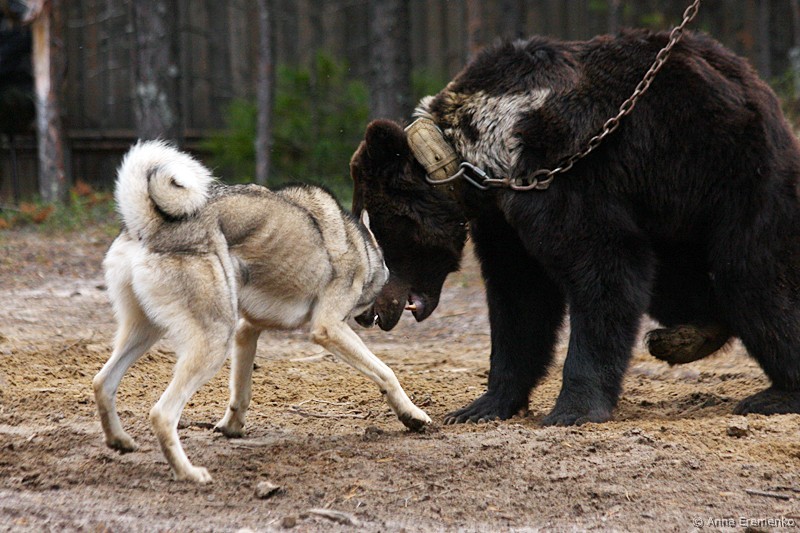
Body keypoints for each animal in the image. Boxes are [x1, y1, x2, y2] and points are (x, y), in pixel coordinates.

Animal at [93, 141, 430, 483]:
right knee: (161, 414)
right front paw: (412, 415)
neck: (361, 251)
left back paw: (120, 441)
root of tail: (151, 224)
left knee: (101, 383)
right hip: (212, 342)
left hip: (147, 334)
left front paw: (231, 429)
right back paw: (190, 473)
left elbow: (241, 393)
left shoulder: (247, 331)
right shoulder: (327, 329)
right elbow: (387, 373)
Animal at [350, 29, 800, 426]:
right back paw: (685, 335)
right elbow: (520, 298)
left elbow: (602, 268)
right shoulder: (504, 220)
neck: (480, 162)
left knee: (751, 275)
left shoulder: (560, 177)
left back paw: (775, 392)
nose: (370, 314)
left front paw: (573, 408)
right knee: (674, 277)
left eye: (383, 233)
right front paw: (480, 406)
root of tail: (753, 82)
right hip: (673, 207)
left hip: (731, 174)